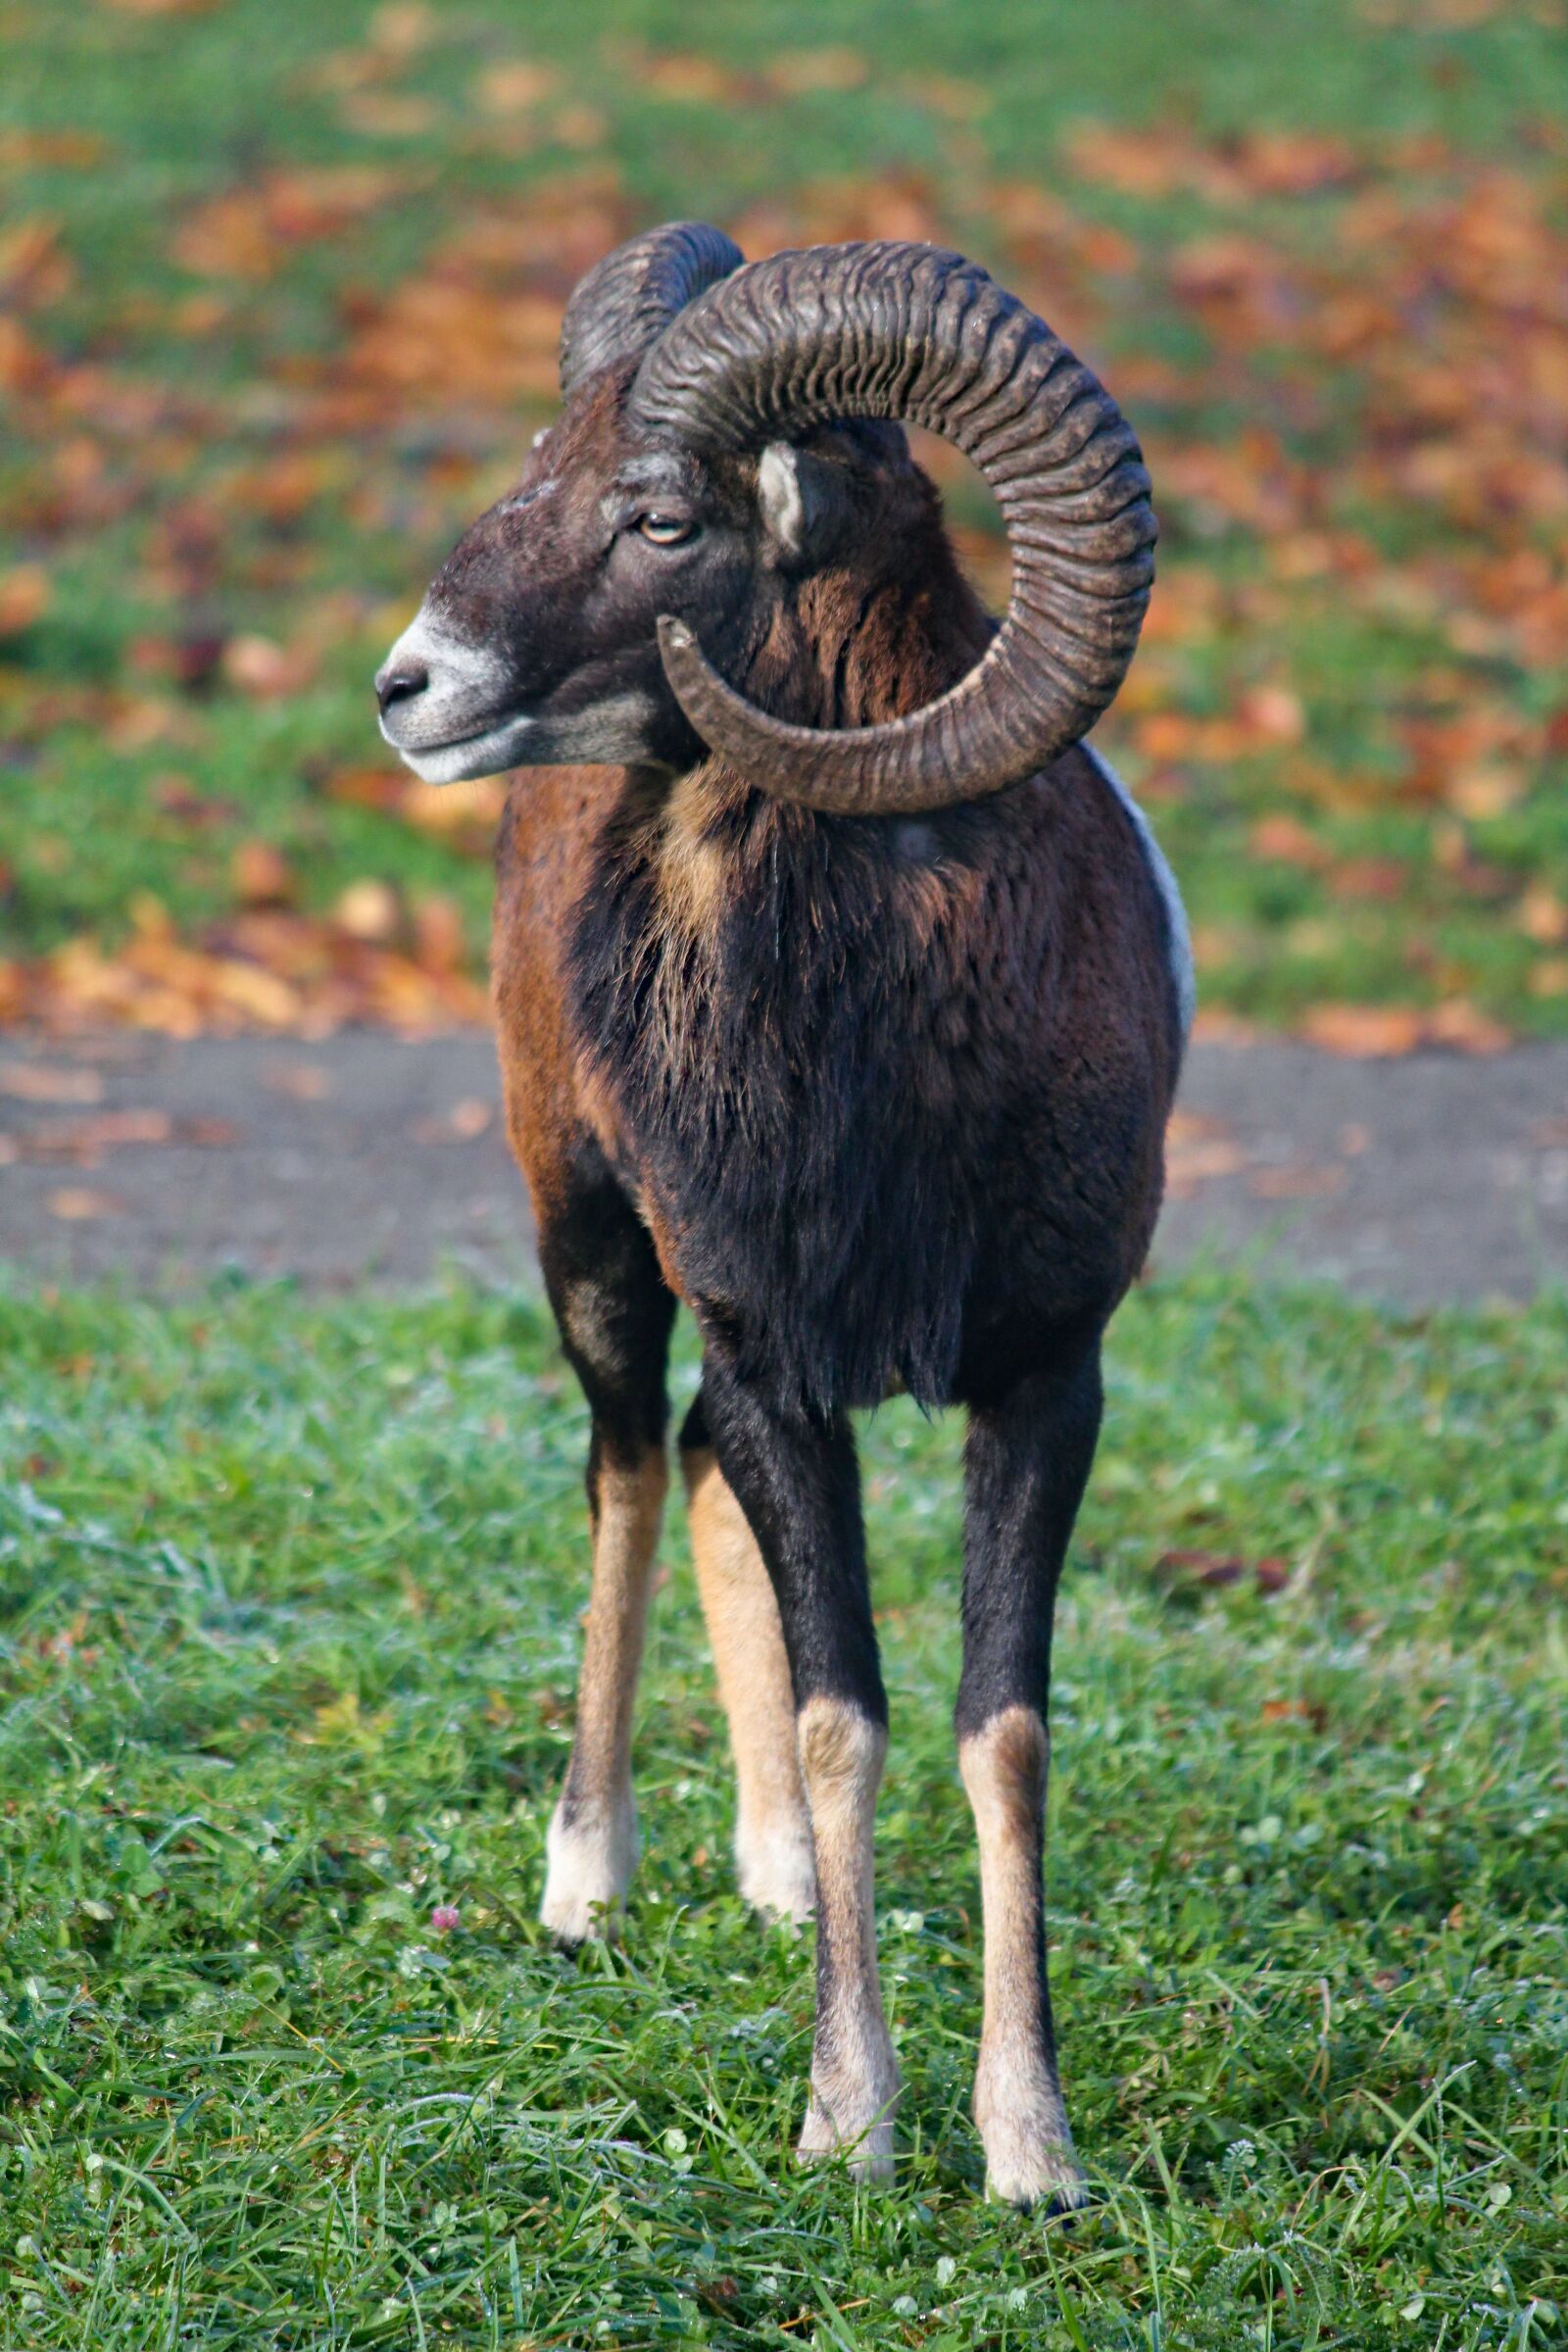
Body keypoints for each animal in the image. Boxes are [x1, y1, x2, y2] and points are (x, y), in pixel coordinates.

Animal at [375, 225, 1192, 2210]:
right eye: (544, 458)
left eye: (663, 516)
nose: (409, 687)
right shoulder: (776, 1364)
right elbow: (848, 1719)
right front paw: (850, 2130)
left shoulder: (1042, 1383)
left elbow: (1000, 1735)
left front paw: (1031, 2154)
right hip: (590, 1249)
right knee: (624, 1464)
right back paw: (588, 1889)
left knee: (686, 1478)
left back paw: (765, 1886)